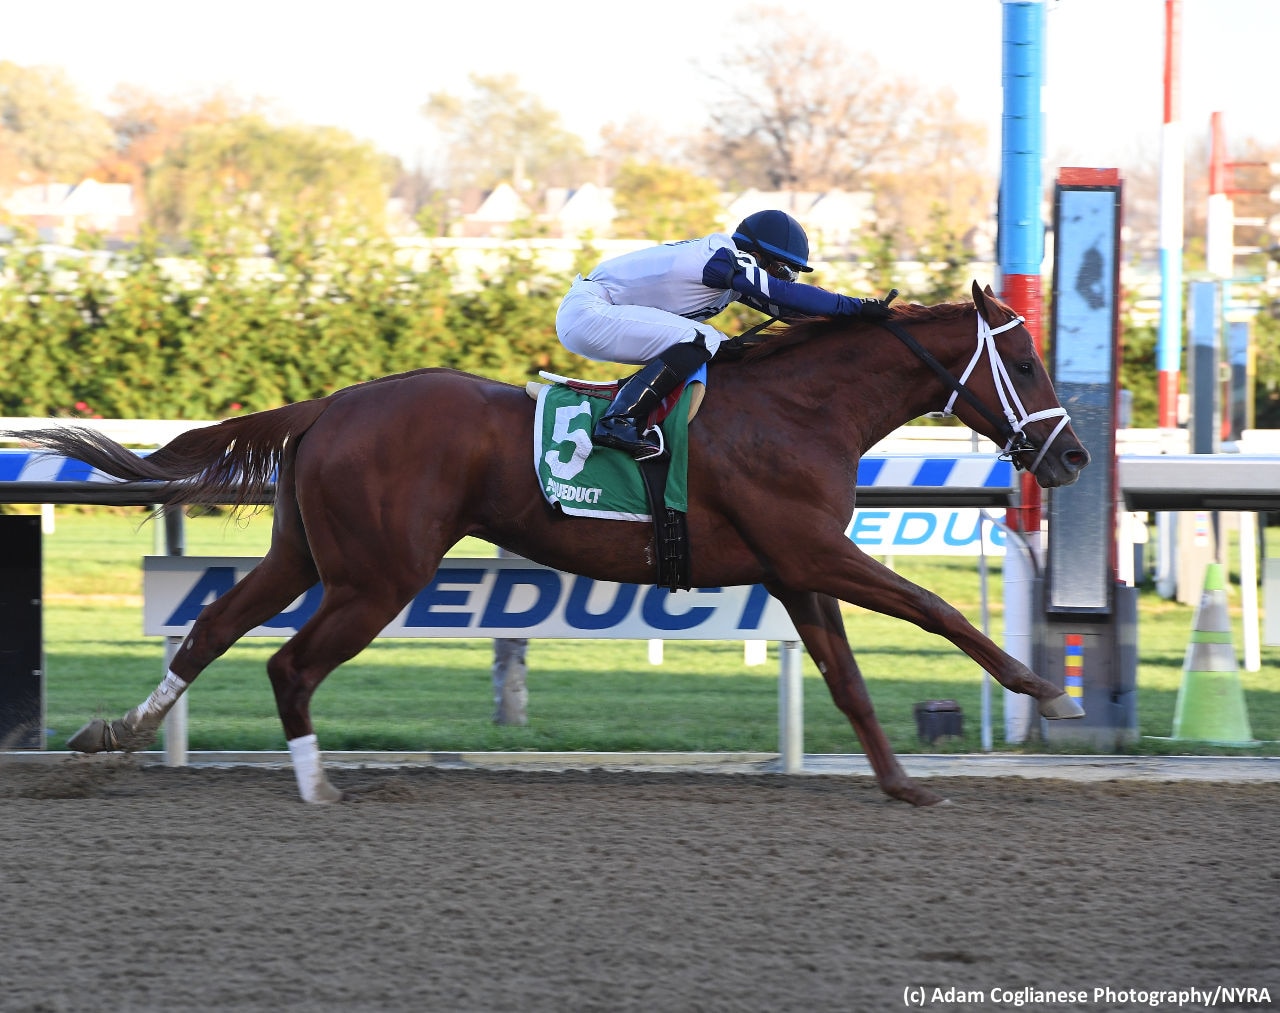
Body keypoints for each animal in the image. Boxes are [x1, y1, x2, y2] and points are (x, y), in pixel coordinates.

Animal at [14, 281, 1089, 807]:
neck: (798, 409)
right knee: (289, 663)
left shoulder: (795, 567)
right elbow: (933, 607)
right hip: (378, 575)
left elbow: (849, 680)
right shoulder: (815, 552)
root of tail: (331, 404)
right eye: (1028, 360)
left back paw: (114, 735)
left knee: (211, 629)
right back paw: (319, 786)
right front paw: (1047, 691)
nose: (1073, 452)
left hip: (308, 556)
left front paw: (904, 786)